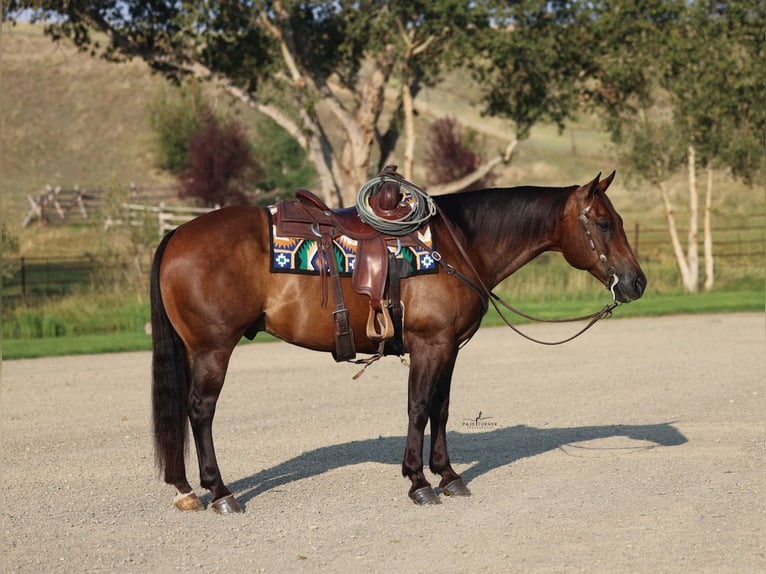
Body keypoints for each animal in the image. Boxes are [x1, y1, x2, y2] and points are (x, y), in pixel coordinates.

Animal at [150, 171, 646, 513]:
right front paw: (418, 482)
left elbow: (441, 409)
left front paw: (447, 475)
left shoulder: (450, 347)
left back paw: (186, 489)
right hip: (213, 349)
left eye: (618, 220)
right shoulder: (430, 345)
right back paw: (220, 491)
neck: (456, 245)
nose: (637, 283)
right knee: (200, 411)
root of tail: (177, 233)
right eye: (604, 223)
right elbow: (419, 407)